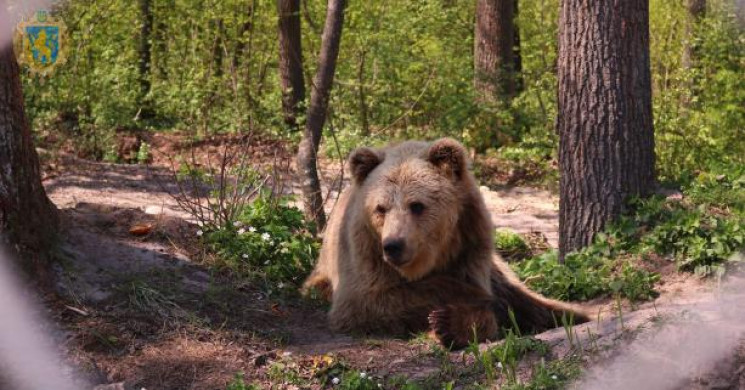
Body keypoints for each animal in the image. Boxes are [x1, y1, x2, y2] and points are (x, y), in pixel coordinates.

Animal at [302, 137, 588, 348]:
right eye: (380, 208)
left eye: (417, 205)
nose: (394, 245)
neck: (430, 260)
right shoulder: (365, 255)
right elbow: (369, 301)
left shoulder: (470, 246)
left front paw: (451, 324)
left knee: (530, 297)